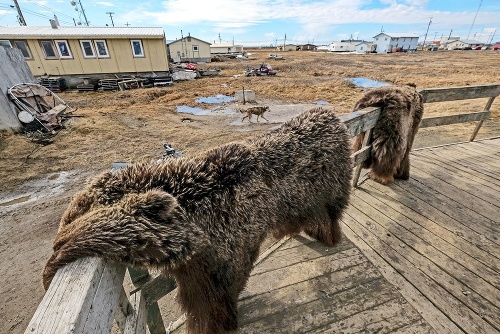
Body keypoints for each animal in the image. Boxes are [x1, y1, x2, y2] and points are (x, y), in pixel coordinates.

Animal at [43, 106, 354, 334]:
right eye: (74, 212)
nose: (48, 269)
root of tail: (332, 117)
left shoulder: (224, 257)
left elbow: (212, 306)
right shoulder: (203, 265)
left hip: (331, 188)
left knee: (330, 212)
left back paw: (329, 235)